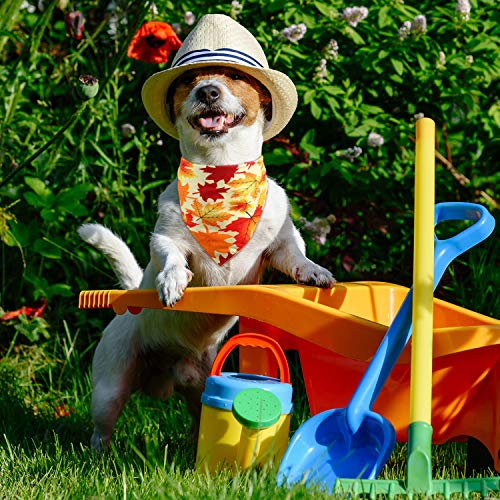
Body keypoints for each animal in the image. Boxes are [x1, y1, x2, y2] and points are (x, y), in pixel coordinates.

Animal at [78, 13, 336, 452]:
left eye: (233, 76)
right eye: (189, 80)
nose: (208, 90)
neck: (222, 171)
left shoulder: (281, 245)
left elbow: (296, 256)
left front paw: (314, 272)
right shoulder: (166, 238)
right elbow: (171, 257)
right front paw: (172, 281)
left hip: (198, 386)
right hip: (109, 387)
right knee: (101, 428)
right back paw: (98, 454)